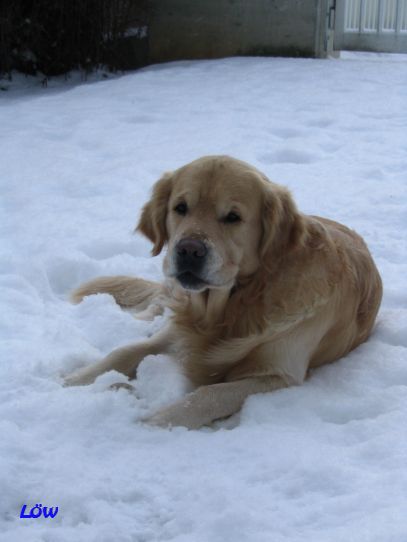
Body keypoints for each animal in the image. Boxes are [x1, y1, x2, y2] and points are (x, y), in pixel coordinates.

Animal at [65, 155, 384, 432]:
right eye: (180, 207)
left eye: (233, 217)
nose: (188, 250)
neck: (231, 307)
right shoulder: (178, 333)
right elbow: (122, 352)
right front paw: (69, 381)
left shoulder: (278, 373)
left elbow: (208, 394)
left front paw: (153, 423)